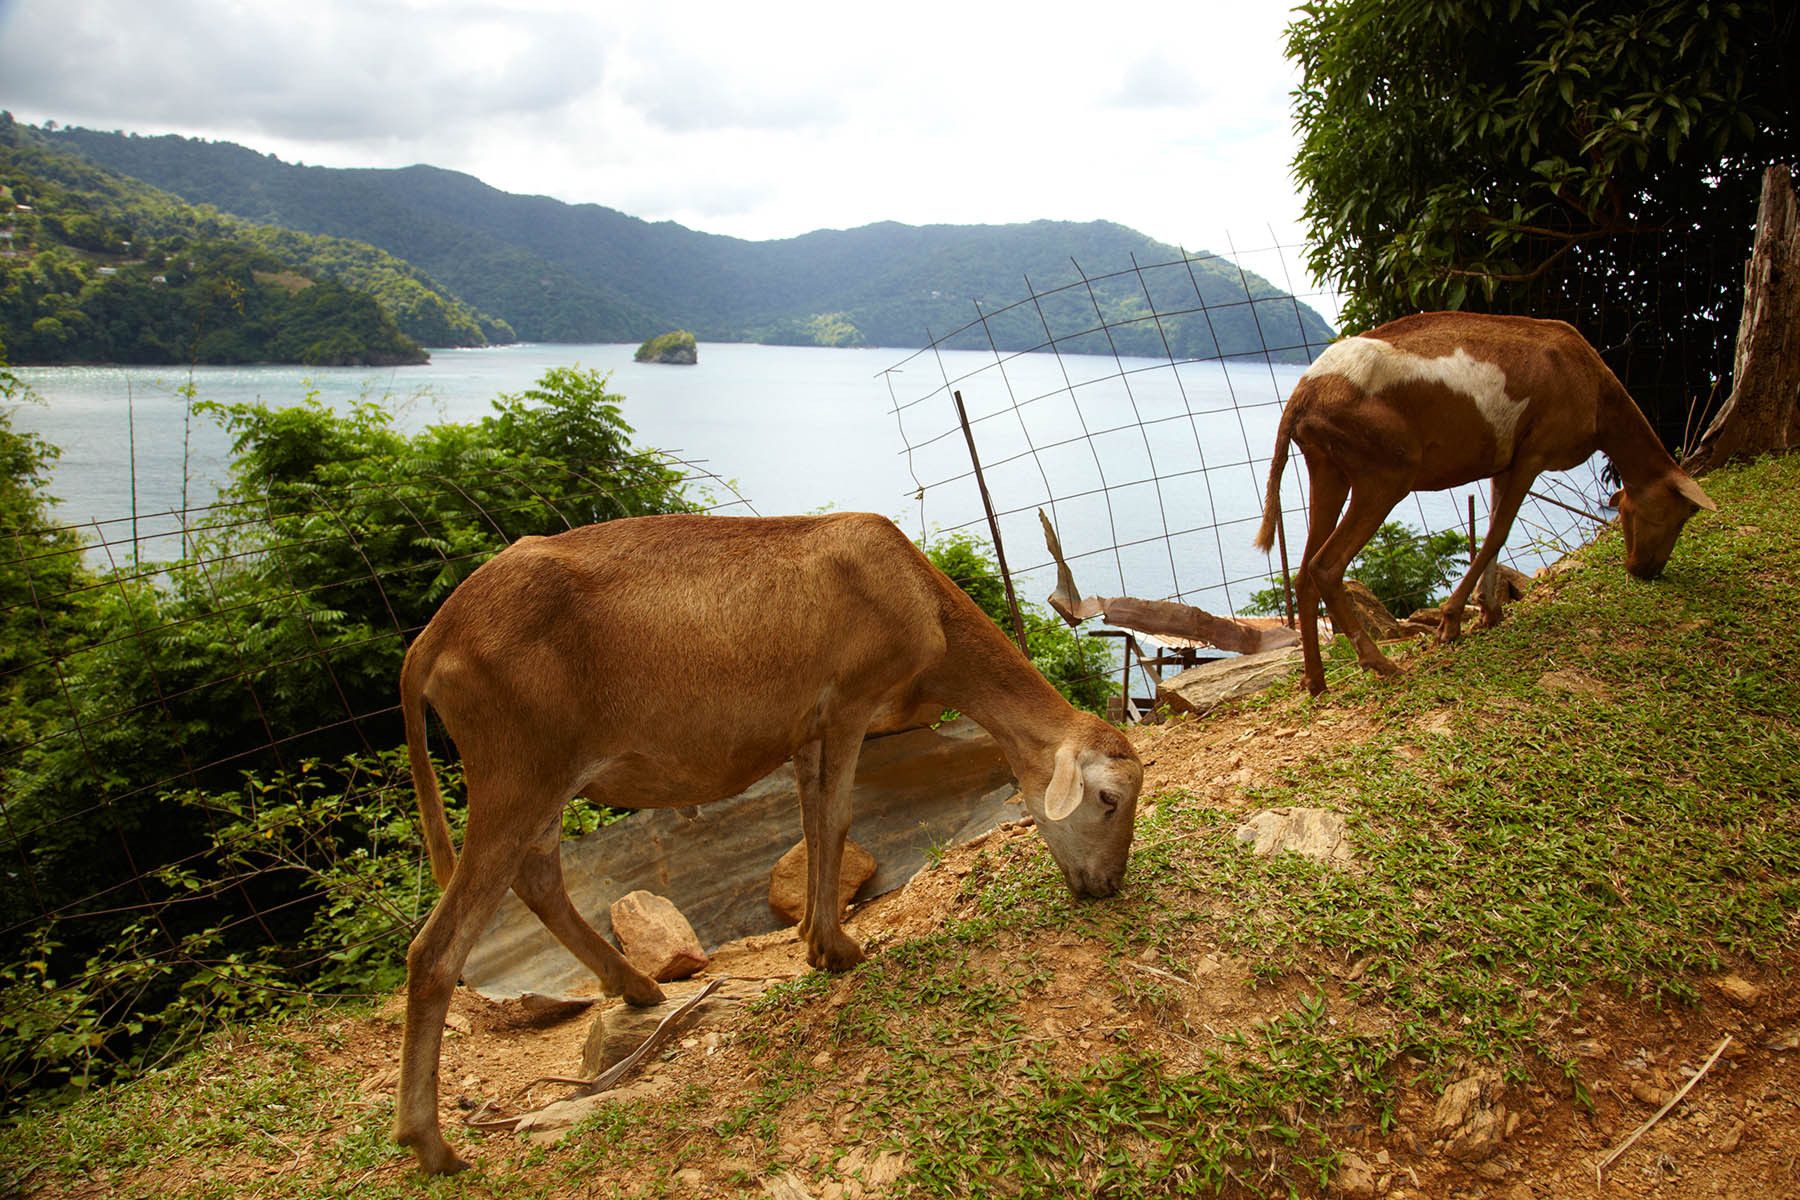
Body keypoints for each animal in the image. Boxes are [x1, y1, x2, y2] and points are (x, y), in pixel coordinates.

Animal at [393, 511, 1143, 1173]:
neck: (918, 601)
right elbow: (837, 819)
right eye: (1109, 799)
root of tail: (430, 641)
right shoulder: (849, 701)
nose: (1107, 887)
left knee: (539, 879)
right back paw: (431, 1144)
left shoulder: (805, 729)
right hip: (518, 769)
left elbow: (811, 824)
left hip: (543, 777)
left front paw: (813, 935)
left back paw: (637, 987)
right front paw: (839, 949)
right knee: (437, 948)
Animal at [1253, 312, 1716, 696]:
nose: (1644, 569)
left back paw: (1316, 681)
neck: (1592, 385)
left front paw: (1490, 612)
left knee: (1303, 574)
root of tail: (1302, 396)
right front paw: (1452, 622)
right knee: (1325, 566)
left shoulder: (1504, 461)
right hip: (1384, 473)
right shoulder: (1534, 453)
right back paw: (1380, 663)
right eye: (1678, 515)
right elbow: (1498, 533)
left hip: (1327, 468)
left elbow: (1494, 528)